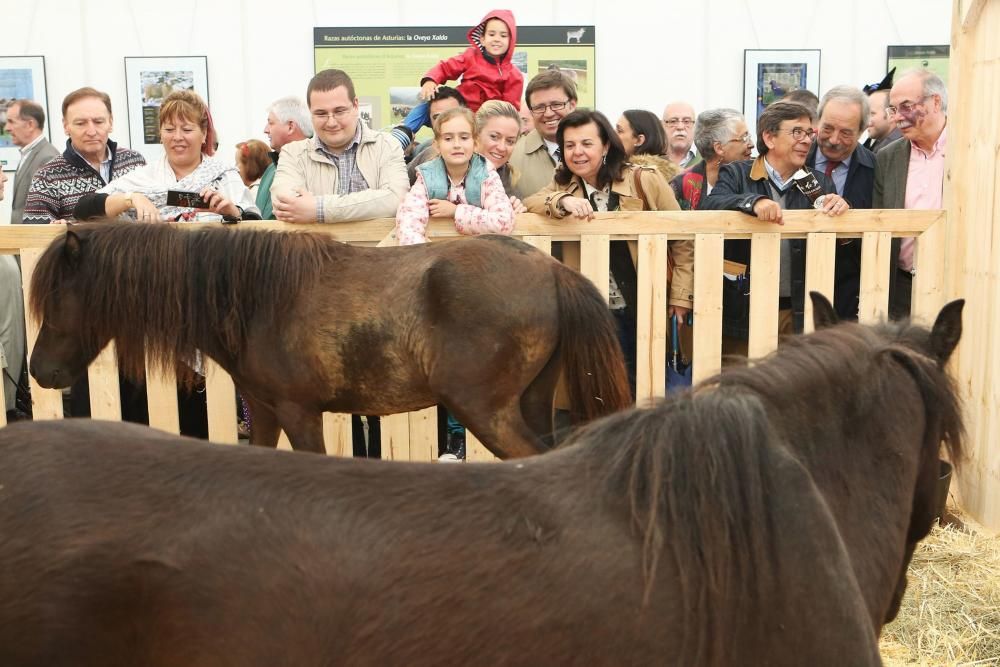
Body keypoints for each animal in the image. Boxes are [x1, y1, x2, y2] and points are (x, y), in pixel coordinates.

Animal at [27, 224, 628, 460]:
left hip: (486, 411)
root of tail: (553, 271)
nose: (39, 372)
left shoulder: (300, 411)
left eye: (56, 296)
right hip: (528, 402)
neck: (255, 299)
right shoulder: (268, 412)